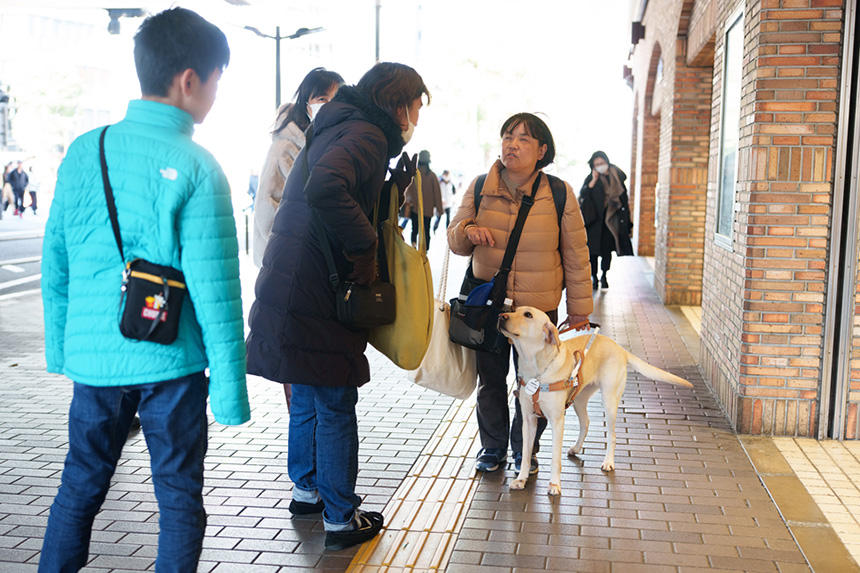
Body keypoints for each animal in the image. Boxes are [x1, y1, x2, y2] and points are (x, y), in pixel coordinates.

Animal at [498, 306, 692, 494]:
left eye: (528, 315)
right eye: (514, 309)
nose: (501, 315)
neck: (536, 369)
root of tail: (620, 348)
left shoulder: (557, 420)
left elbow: (555, 458)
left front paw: (554, 484)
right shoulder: (528, 420)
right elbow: (525, 453)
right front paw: (521, 479)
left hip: (610, 400)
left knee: (612, 435)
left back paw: (608, 462)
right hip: (579, 400)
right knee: (586, 422)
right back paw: (577, 448)